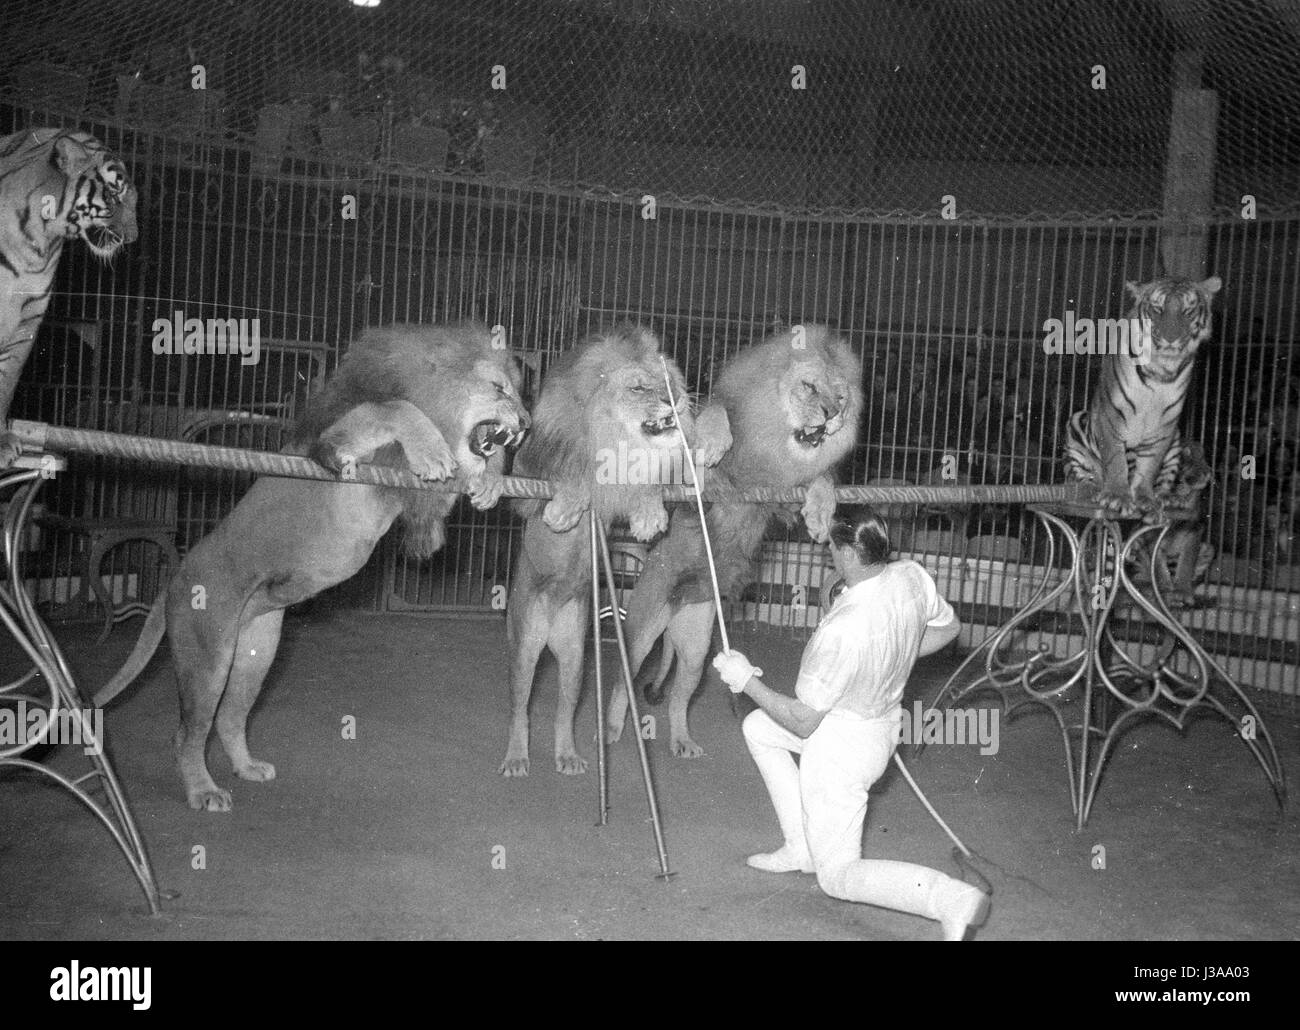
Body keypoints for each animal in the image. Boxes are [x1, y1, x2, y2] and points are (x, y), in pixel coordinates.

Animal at [91, 322, 530, 811]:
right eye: (499, 389)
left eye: (521, 395)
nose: (526, 424)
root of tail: (176, 576)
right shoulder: (332, 452)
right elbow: (393, 406)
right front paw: (435, 450)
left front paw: (490, 479)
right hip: (205, 654)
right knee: (188, 733)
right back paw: (204, 791)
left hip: (256, 654)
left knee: (230, 718)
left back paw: (247, 768)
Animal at [499, 326, 733, 775]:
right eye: (640, 387)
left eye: (668, 382)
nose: (674, 401)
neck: (624, 440)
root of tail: (551, 628)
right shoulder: (525, 481)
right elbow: (572, 470)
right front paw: (567, 506)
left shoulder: (682, 488)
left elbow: (663, 484)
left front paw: (712, 437)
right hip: (525, 645)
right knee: (520, 708)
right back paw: (517, 757)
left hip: (579, 655)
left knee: (566, 711)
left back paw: (570, 756)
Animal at [605, 323, 868, 754]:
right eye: (810, 387)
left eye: (841, 397)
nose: (832, 415)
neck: (776, 443)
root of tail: (678, 602)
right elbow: (714, 414)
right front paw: (713, 440)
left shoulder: (780, 498)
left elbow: (823, 480)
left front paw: (820, 512)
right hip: (642, 628)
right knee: (620, 686)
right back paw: (612, 730)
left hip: (696, 644)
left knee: (679, 696)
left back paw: (682, 741)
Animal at [1066, 271, 1216, 520]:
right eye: (1157, 309)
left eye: (1188, 311)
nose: (1170, 338)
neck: (1161, 369)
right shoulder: (1112, 413)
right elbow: (1115, 459)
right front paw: (1117, 496)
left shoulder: (1166, 424)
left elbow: (1150, 465)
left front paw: (1146, 499)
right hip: (1078, 421)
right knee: (1081, 476)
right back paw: (1091, 488)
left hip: (1176, 438)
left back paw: (1166, 497)